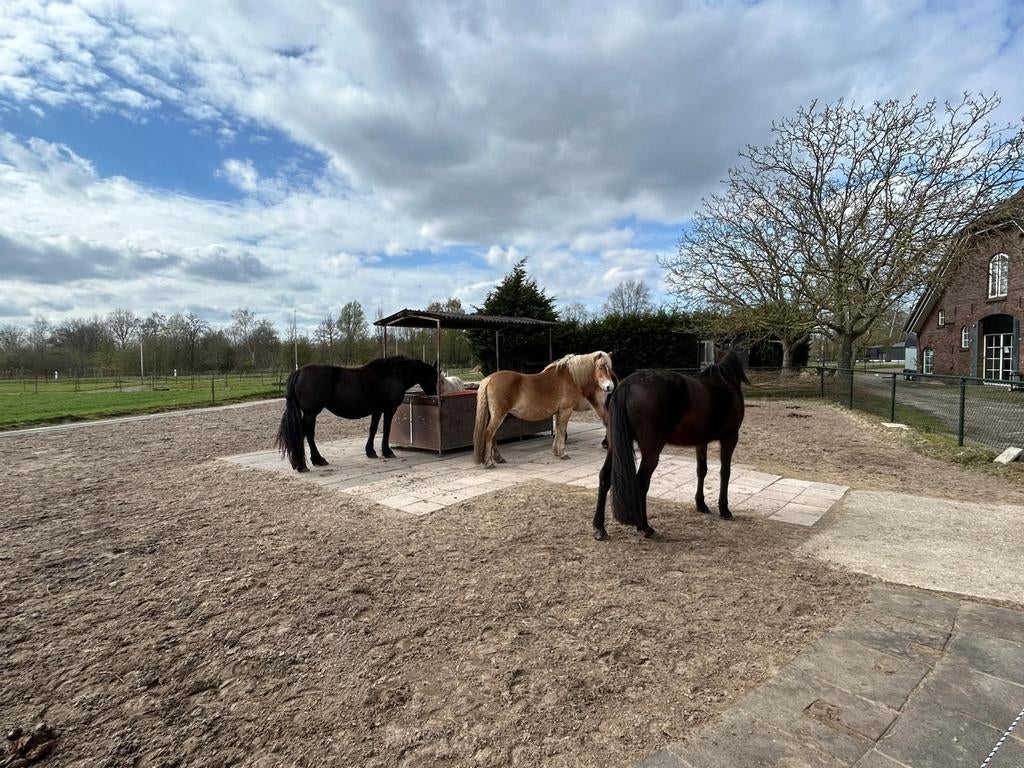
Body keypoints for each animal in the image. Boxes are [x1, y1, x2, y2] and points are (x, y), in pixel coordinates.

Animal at [276, 356, 438, 472]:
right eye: (434, 376)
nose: (435, 393)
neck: (392, 374)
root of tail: (299, 372)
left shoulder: (377, 410)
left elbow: (373, 429)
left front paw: (371, 451)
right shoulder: (389, 409)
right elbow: (386, 429)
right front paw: (387, 451)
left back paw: (313, 461)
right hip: (311, 413)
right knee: (307, 433)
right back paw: (310, 462)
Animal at [473, 351, 616, 468]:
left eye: (610, 368)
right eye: (601, 367)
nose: (610, 387)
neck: (569, 377)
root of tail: (489, 378)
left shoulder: (559, 412)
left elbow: (558, 430)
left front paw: (556, 452)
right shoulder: (566, 410)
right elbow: (562, 430)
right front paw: (563, 453)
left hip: (497, 415)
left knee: (493, 435)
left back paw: (498, 458)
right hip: (499, 415)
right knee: (489, 433)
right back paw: (489, 462)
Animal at [592, 351, 748, 540]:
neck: (725, 382)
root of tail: (626, 385)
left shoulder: (700, 442)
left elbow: (701, 470)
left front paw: (701, 504)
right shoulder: (730, 438)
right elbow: (725, 472)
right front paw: (724, 509)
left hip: (614, 446)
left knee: (605, 477)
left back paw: (599, 527)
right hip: (651, 451)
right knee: (641, 482)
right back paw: (644, 527)